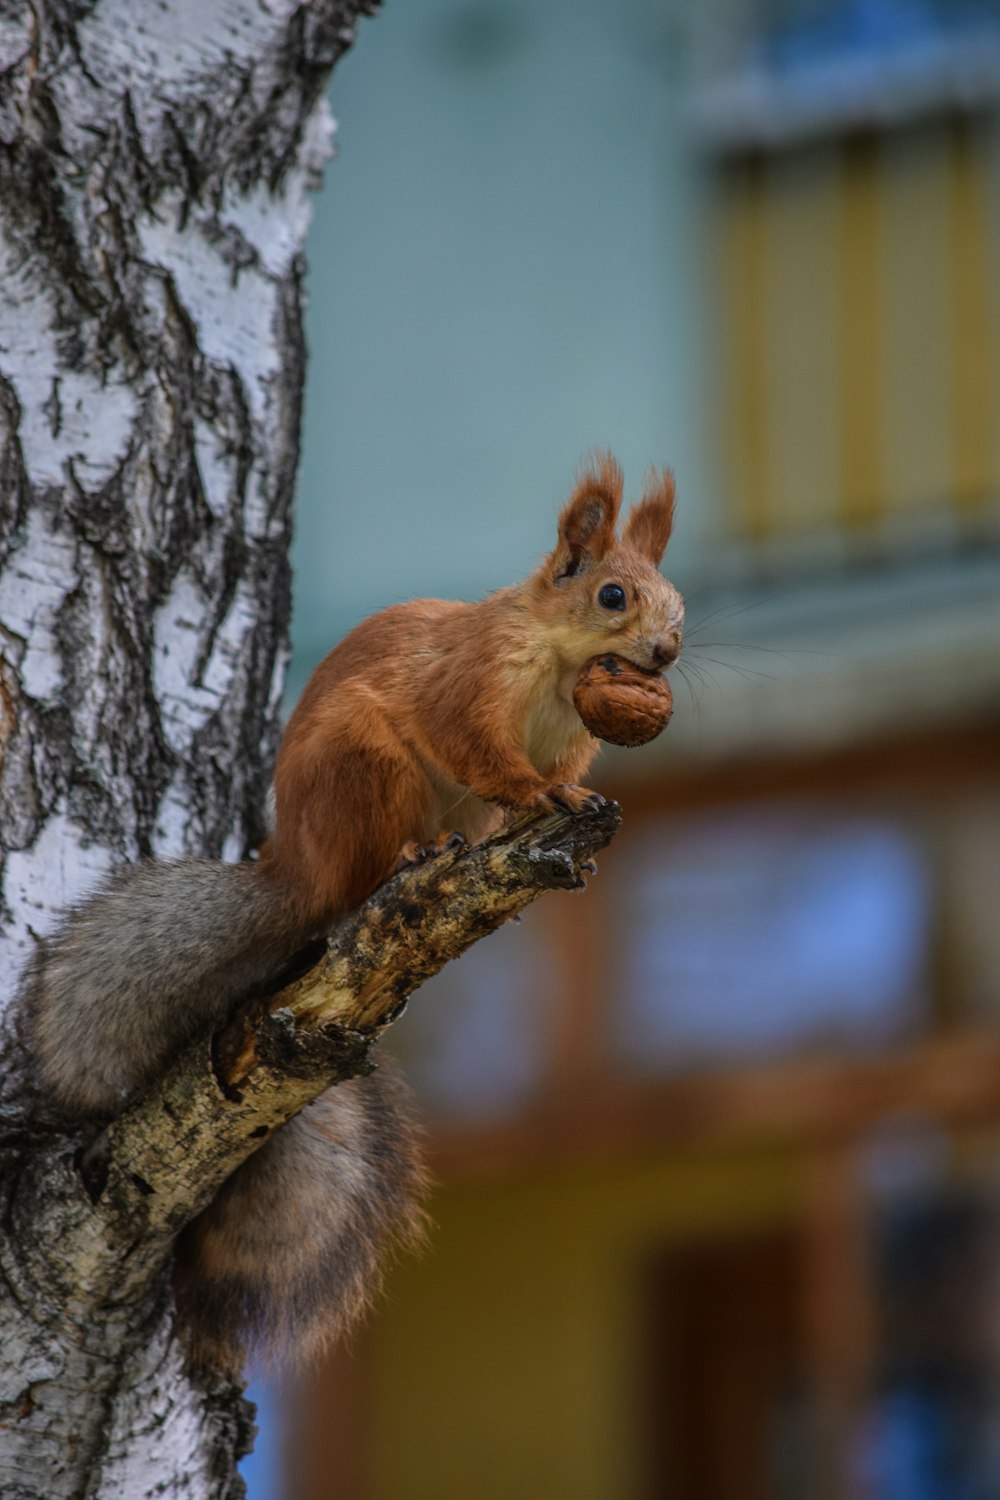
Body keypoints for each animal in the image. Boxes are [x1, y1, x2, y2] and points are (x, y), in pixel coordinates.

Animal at [23, 453, 683, 1374]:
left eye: (677, 603)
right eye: (612, 595)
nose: (666, 651)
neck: (557, 665)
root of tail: (300, 869)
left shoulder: (566, 734)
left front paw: (561, 819)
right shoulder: (467, 683)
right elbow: (480, 749)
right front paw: (542, 798)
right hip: (365, 765)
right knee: (372, 862)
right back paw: (411, 856)